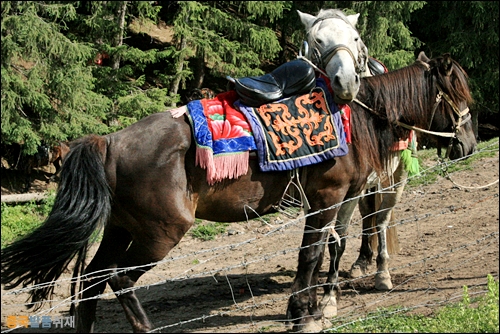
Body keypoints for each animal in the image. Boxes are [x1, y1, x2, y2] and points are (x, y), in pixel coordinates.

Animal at [0, 51, 476, 332]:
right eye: (458, 94)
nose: (469, 144)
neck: (353, 119)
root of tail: (110, 141)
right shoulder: (327, 197)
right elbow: (311, 255)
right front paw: (303, 314)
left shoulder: (336, 199)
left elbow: (325, 250)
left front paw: (312, 308)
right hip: (160, 233)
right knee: (120, 280)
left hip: (119, 228)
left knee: (91, 283)